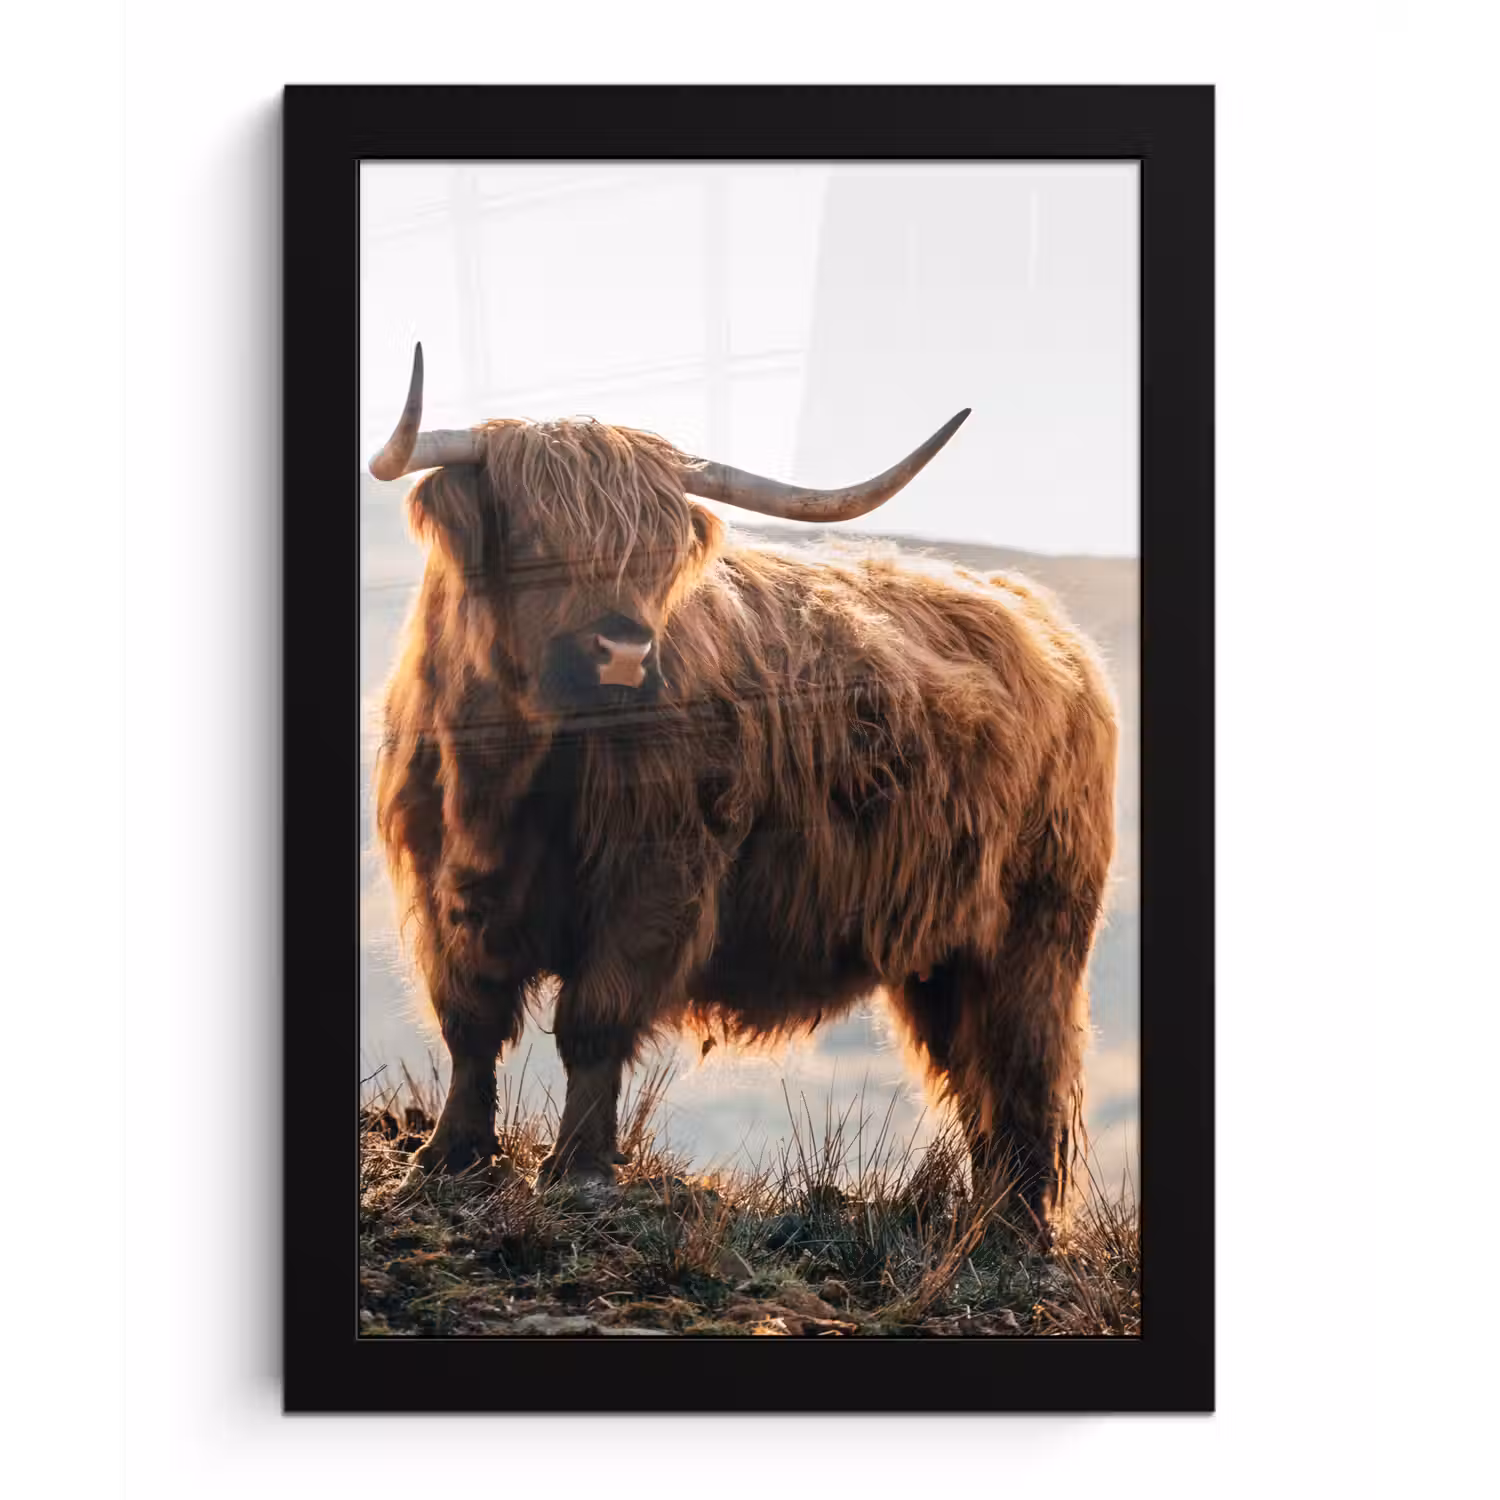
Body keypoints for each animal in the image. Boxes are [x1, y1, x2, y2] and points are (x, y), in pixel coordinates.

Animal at [370, 344, 1117, 1234]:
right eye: (533, 530)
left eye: (658, 551)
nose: (624, 651)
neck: (507, 775)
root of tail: (1046, 623)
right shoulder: (443, 884)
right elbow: (471, 1019)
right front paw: (449, 1156)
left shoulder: (656, 881)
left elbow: (594, 1019)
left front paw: (579, 1169)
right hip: (943, 953)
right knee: (975, 1074)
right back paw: (985, 1216)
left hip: (1035, 930)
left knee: (1023, 1064)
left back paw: (1014, 1226)